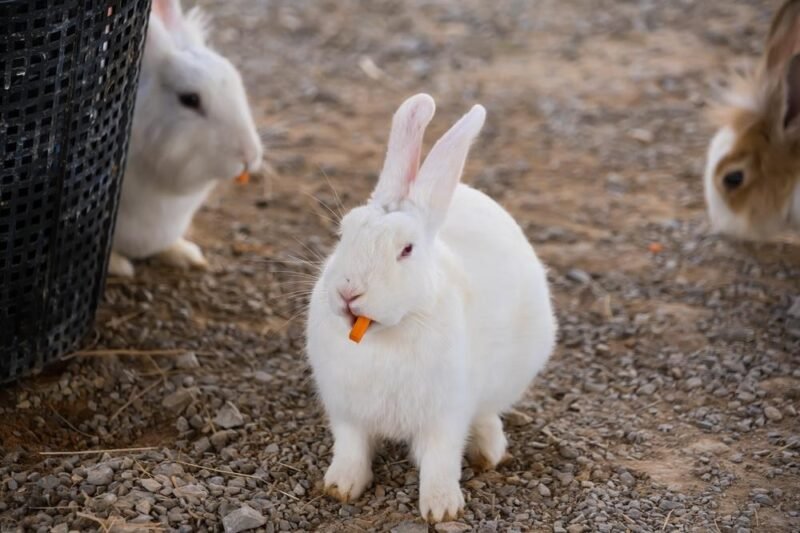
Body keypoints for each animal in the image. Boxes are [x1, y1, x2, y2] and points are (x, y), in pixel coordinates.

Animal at [305, 94, 557, 523]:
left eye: (406, 249)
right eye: (344, 232)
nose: (348, 292)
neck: (386, 333)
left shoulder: (446, 416)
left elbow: (441, 460)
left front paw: (441, 508)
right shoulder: (348, 413)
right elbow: (351, 448)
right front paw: (341, 487)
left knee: (488, 413)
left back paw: (488, 451)